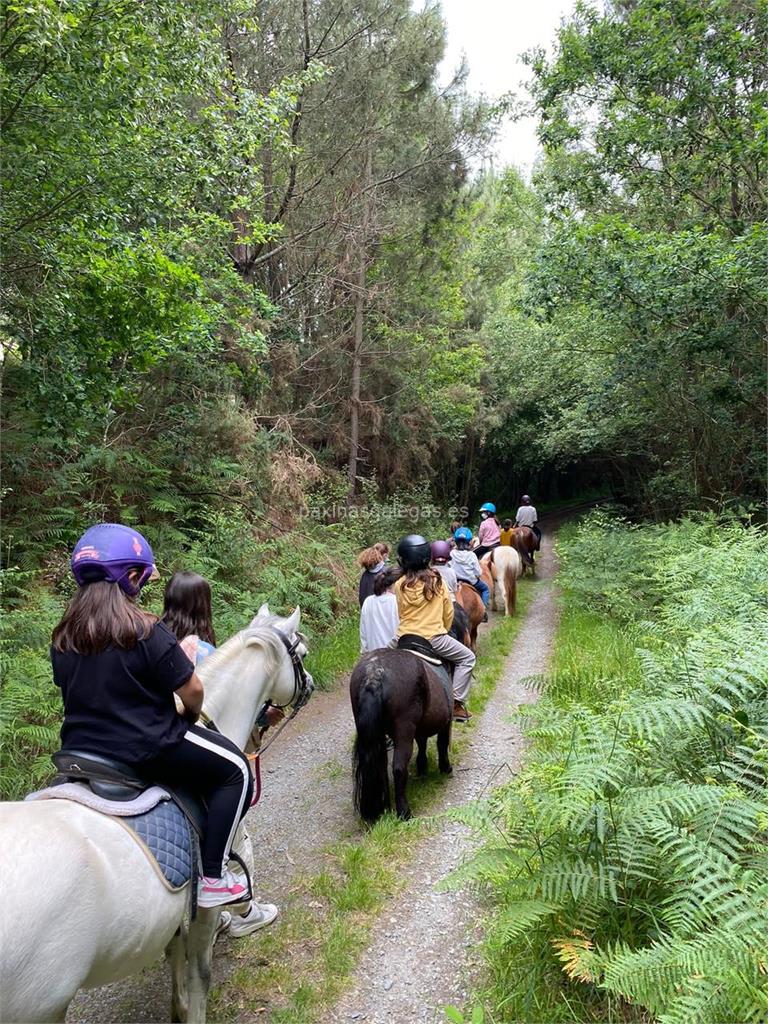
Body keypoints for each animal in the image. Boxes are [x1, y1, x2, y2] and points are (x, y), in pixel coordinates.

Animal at [0, 606, 313, 1024]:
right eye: (302, 654)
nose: (310, 685)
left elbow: (174, 952)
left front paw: (176, 1006)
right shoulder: (205, 904)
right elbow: (200, 976)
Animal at [352, 647, 454, 823]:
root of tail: (373, 674)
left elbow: (422, 742)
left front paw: (422, 767)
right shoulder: (446, 722)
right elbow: (442, 744)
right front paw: (445, 768)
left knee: (380, 765)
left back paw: (381, 808)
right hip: (403, 731)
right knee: (399, 768)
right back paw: (404, 813)